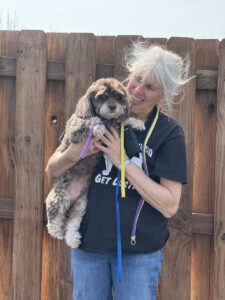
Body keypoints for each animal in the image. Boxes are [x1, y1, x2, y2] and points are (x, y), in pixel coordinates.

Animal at [44, 78, 145, 248]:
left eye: (118, 96)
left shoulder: (114, 126)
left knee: (72, 223)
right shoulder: (74, 129)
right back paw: (56, 231)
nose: (113, 106)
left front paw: (137, 122)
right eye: (103, 96)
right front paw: (98, 127)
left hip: (80, 205)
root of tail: (71, 200)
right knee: (54, 214)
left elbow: (122, 121)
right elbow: (91, 121)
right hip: (60, 196)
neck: (107, 120)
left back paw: (73, 239)